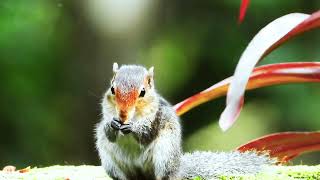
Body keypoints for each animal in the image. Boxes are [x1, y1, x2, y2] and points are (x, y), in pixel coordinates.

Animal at [94, 63, 276, 180]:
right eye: (112, 89)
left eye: (143, 92)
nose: (122, 114)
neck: (134, 116)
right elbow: (108, 131)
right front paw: (111, 125)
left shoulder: (156, 118)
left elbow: (145, 134)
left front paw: (132, 127)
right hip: (110, 162)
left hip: (165, 155)